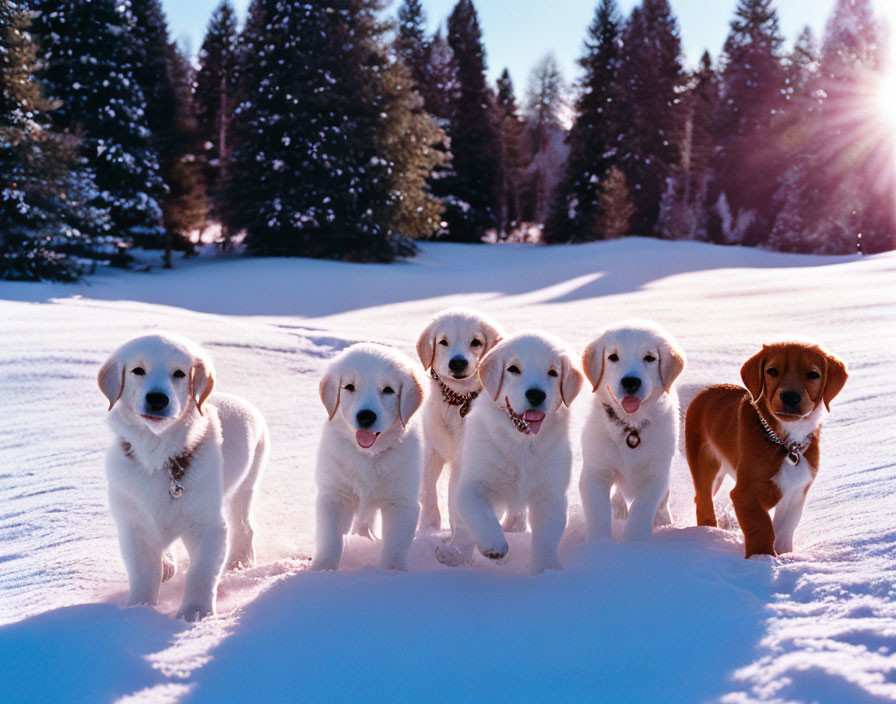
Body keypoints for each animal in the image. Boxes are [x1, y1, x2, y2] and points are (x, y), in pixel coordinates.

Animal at [98, 332, 268, 620]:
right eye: (137, 370)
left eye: (179, 373)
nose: (157, 399)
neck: (158, 454)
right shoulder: (134, 526)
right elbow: (143, 576)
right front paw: (138, 611)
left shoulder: (208, 526)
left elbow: (201, 574)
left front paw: (194, 614)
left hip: (244, 484)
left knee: (244, 525)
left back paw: (240, 561)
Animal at [314, 342, 426, 572]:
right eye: (349, 387)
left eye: (388, 390)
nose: (366, 416)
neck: (367, 456)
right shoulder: (334, 495)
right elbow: (330, 539)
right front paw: (323, 570)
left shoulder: (402, 502)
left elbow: (395, 546)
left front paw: (390, 573)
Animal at [414, 306, 504, 528]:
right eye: (443, 342)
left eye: (476, 342)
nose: (457, 363)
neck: (458, 399)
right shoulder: (431, 447)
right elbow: (427, 491)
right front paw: (429, 528)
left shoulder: (464, 457)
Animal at [438, 332, 584, 576]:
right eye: (513, 369)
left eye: (553, 372)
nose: (536, 394)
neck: (520, 443)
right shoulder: (472, 484)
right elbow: (479, 514)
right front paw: (495, 546)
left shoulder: (550, 494)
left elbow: (547, 538)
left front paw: (547, 570)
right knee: (463, 530)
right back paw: (455, 555)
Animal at [688, 344, 848, 560]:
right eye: (772, 371)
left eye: (813, 374)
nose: (790, 396)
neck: (785, 444)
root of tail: (708, 389)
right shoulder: (745, 492)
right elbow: (761, 527)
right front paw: (762, 560)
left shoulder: (796, 491)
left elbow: (784, 531)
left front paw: (784, 558)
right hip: (704, 464)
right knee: (703, 502)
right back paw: (709, 534)